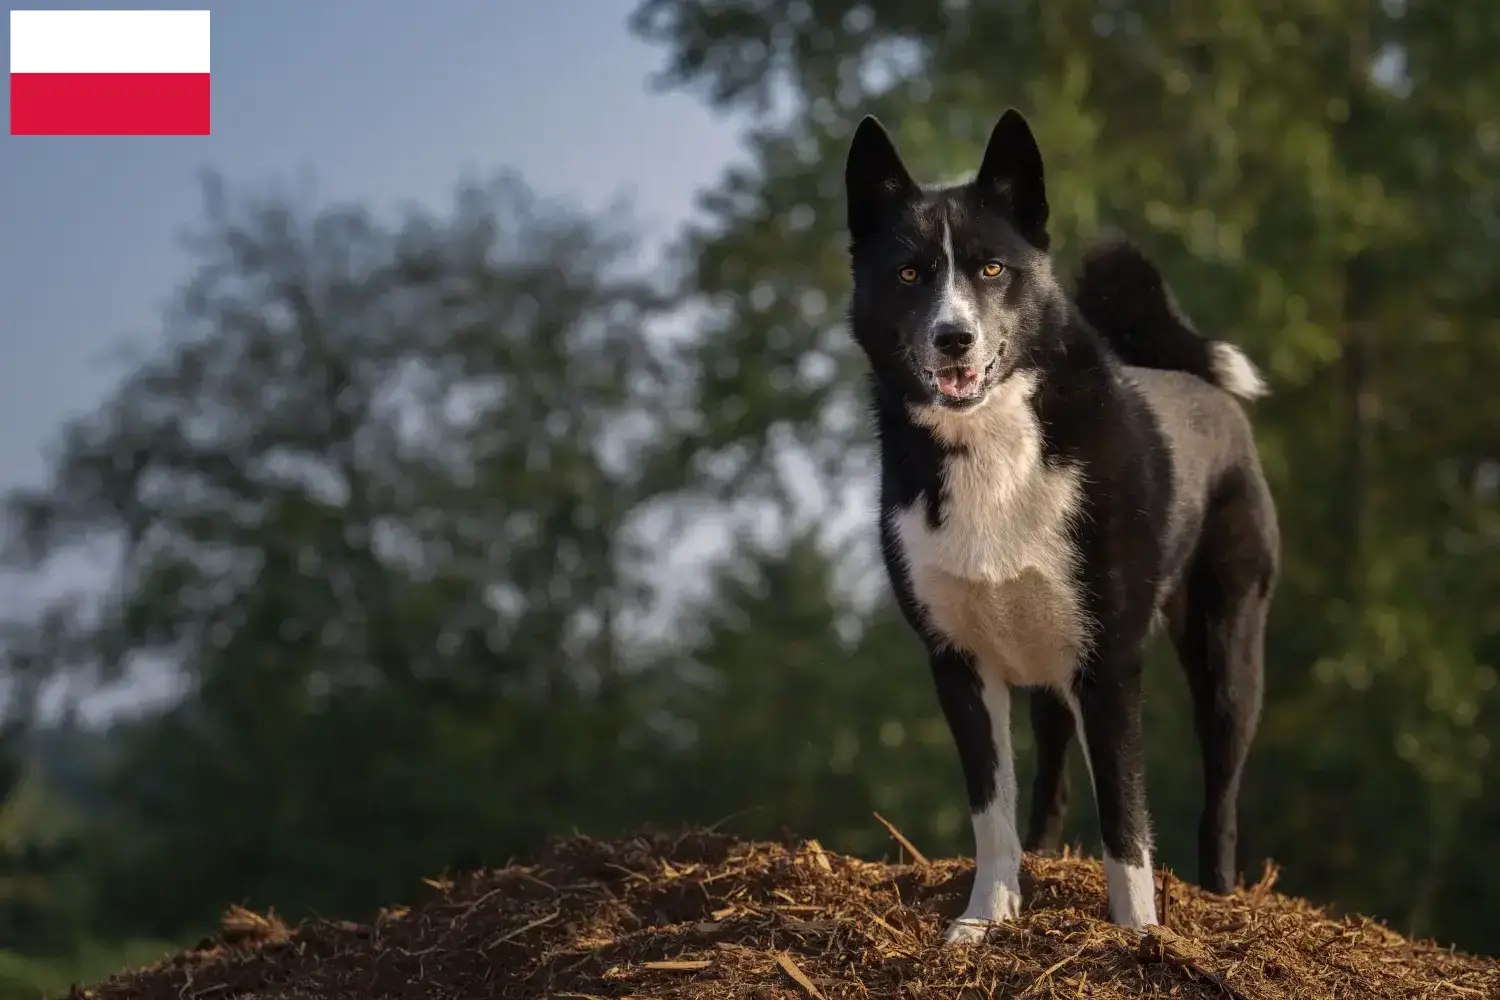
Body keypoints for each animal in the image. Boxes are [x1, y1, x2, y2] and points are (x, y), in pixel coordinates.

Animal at [846, 111, 1278, 947]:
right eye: (910, 275)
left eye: (990, 269)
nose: (953, 337)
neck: (993, 441)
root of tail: (1197, 384)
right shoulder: (959, 663)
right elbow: (992, 810)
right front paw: (984, 919)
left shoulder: (1108, 664)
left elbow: (1126, 819)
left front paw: (1139, 935)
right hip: (1046, 663)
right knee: (1050, 780)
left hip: (1227, 650)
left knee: (1222, 791)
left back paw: (1219, 897)